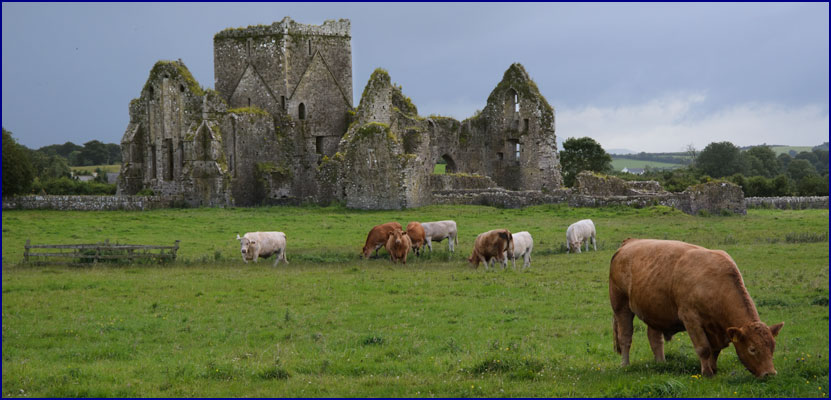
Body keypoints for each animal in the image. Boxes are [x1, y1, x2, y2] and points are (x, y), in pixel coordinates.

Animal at [608, 239, 784, 380]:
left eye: (772, 347)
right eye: (752, 349)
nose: (770, 373)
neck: (716, 284)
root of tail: (629, 243)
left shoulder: (716, 330)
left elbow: (715, 350)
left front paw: (713, 368)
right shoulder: (691, 319)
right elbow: (704, 348)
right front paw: (707, 373)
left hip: (654, 310)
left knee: (655, 339)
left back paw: (661, 363)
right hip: (621, 307)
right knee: (625, 337)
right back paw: (625, 365)